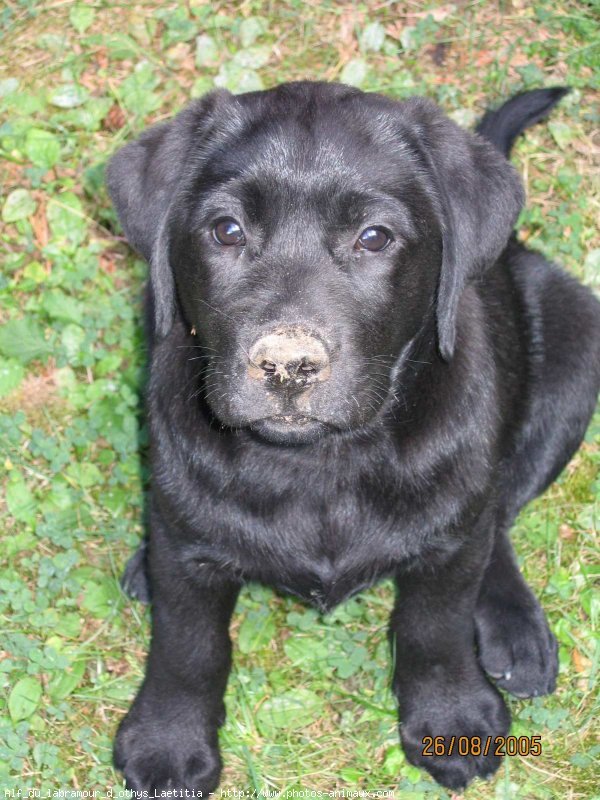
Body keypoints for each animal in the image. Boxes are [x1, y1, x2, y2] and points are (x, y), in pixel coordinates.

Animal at [108, 83, 600, 792]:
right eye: (226, 231)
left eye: (374, 237)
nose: (288, 364)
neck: (321, 463)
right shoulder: (188, 549)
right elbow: (187, 643)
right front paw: (167, 742)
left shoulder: (449, 544)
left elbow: (435, 625)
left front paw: (452, 718)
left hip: (575, 342)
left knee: (498, 510)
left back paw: (514, 624)